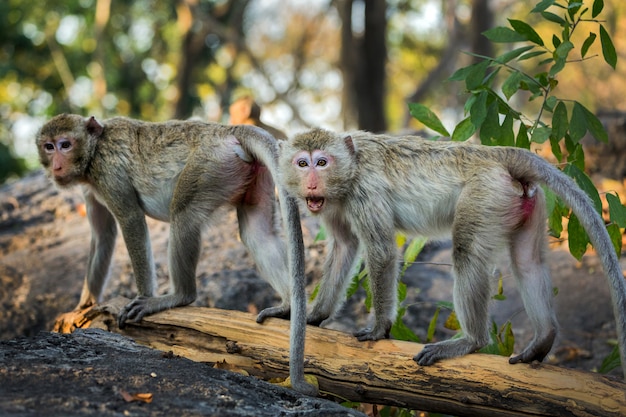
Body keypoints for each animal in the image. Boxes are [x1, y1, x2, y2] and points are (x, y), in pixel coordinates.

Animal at [36, 114, 314, 394]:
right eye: (49, 147)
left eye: (65, 144)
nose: (57, 165)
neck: (94, 150)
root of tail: (226, 130)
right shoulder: (91, 186)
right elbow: (103, 236)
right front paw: (83, 306)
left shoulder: (107, 172)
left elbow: (131, 220)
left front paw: (145, 296)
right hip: (250, 174)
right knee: (257, 232)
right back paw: (287, 304)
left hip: (210, 166)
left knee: (183, 214)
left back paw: (178, 296)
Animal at [276, 127, 624, 376]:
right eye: (302, 163)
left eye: (322, 162)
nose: (311, 183)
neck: (350, 168)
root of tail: (496, 153)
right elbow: (344, 247)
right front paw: (313, 315)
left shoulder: (364, 190)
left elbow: (382, 251)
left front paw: (379, 328)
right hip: (525, 198)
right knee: (528, 263)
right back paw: (543, 339)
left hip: (486, 194)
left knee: (466, 252)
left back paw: (471, 341)